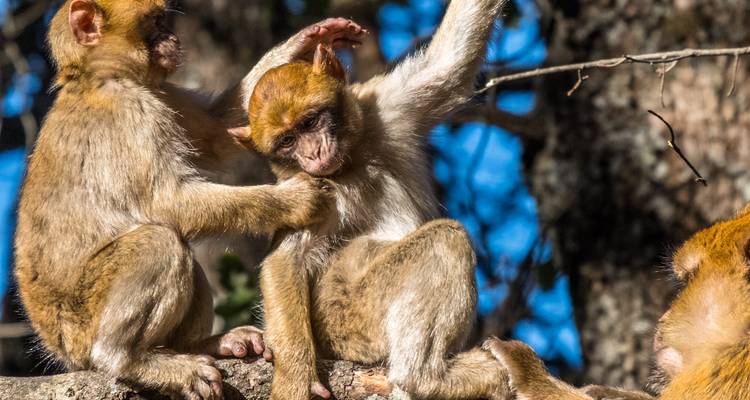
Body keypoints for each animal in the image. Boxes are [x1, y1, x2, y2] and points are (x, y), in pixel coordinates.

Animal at [13, 1, 365, 399]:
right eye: (155, 22)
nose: (172, 38)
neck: (95, 77)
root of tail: (57, 345)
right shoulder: (133, 111)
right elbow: (168, 202)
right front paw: (297, 200)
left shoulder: (157, 94)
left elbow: (214, 134)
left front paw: (305, 41)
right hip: (81, 323)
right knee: (160, 241)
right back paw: (128, 359)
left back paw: (200, 345)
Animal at [228, 1, 511, 399]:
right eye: (287, 141)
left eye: (310, 122)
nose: (313, 153)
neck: (350, 161)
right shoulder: (310, 188)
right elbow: (286, 260)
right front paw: (296, 376)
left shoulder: (388, 108)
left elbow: (453, 57)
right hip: (350, 319)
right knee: (445, 239)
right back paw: (426, 377)